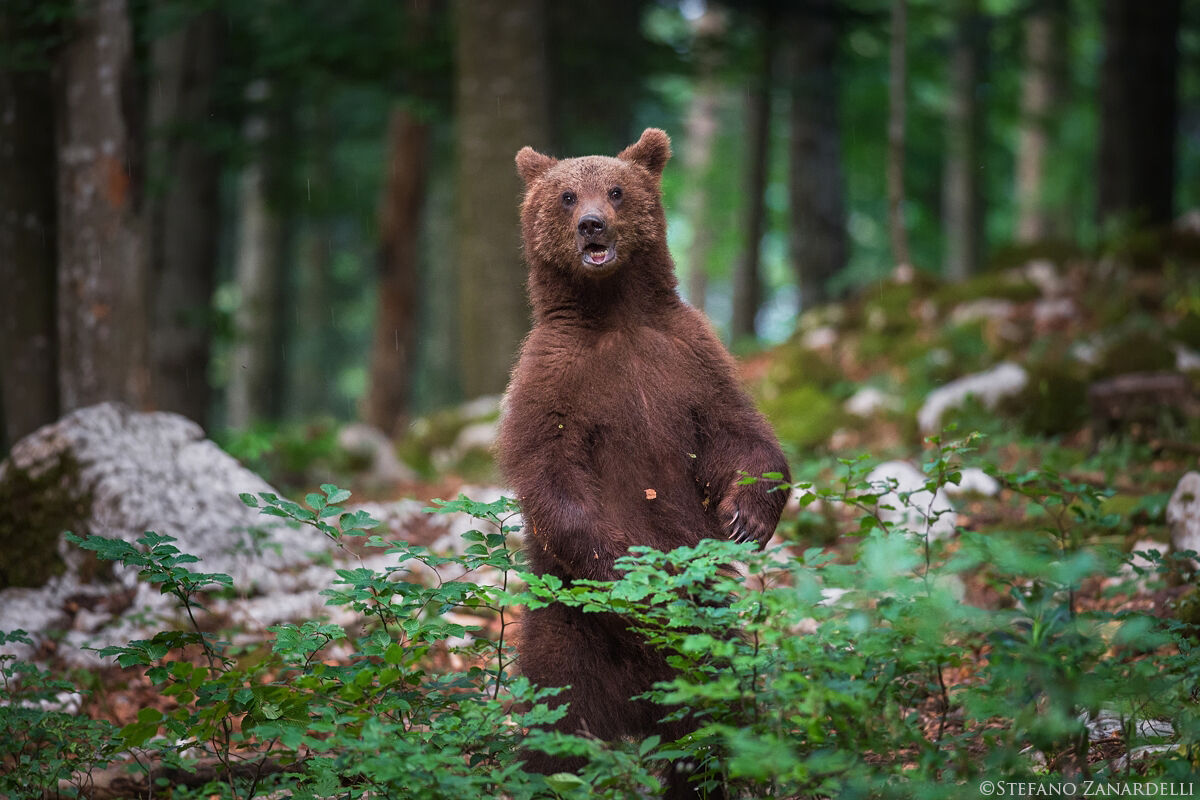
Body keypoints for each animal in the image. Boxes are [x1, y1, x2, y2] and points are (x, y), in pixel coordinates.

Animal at [498, 128, 790, 799]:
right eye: (566, 194)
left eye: (617, 189)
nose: (592, 225)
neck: (615, 315)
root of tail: (633, 710)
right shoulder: (552, 381)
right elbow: (553, 478)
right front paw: (629, 569)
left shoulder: (688, 359)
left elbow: (740, 435)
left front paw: (746, 519)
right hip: (568, 636)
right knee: (557, 728)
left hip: (705, 645)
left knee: (708, 722)